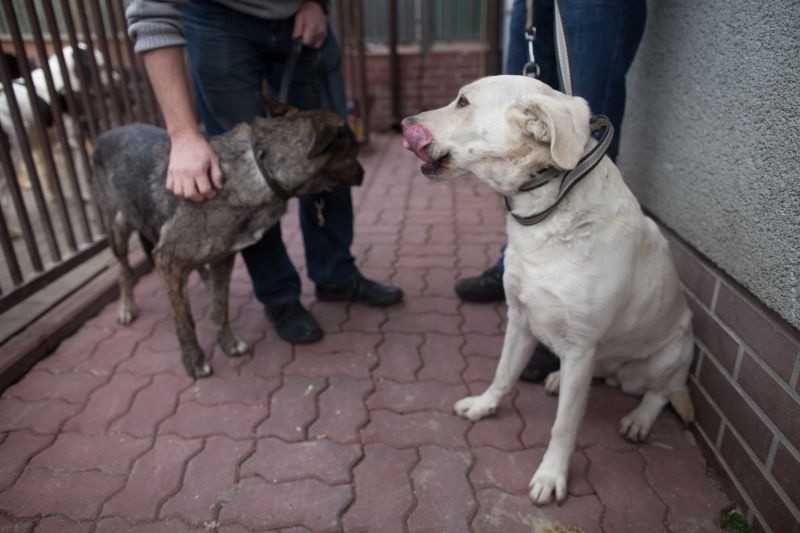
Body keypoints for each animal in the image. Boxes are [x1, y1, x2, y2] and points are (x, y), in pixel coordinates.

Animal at [90, 104, 362, 376]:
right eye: (354, 152)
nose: (363, 173)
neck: (261, 169)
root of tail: (104, 136)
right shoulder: (167, 260)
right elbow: (185, 320)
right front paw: (194, 360)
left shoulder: (223, 259)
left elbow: (220, 308)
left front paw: (228, 343)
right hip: (118, 228)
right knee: (123, 270)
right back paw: (126, 307)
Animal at [400, 75, 692, 502]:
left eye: (463, 102)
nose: (404, 123)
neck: (545, 210)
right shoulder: (520, 319)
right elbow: (503, 374)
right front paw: (484, 405)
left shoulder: (581, 347)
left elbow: (564, 426)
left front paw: (552, 475)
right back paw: (557, 379)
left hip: (671, 352)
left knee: (660, 393)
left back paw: (638, 418)